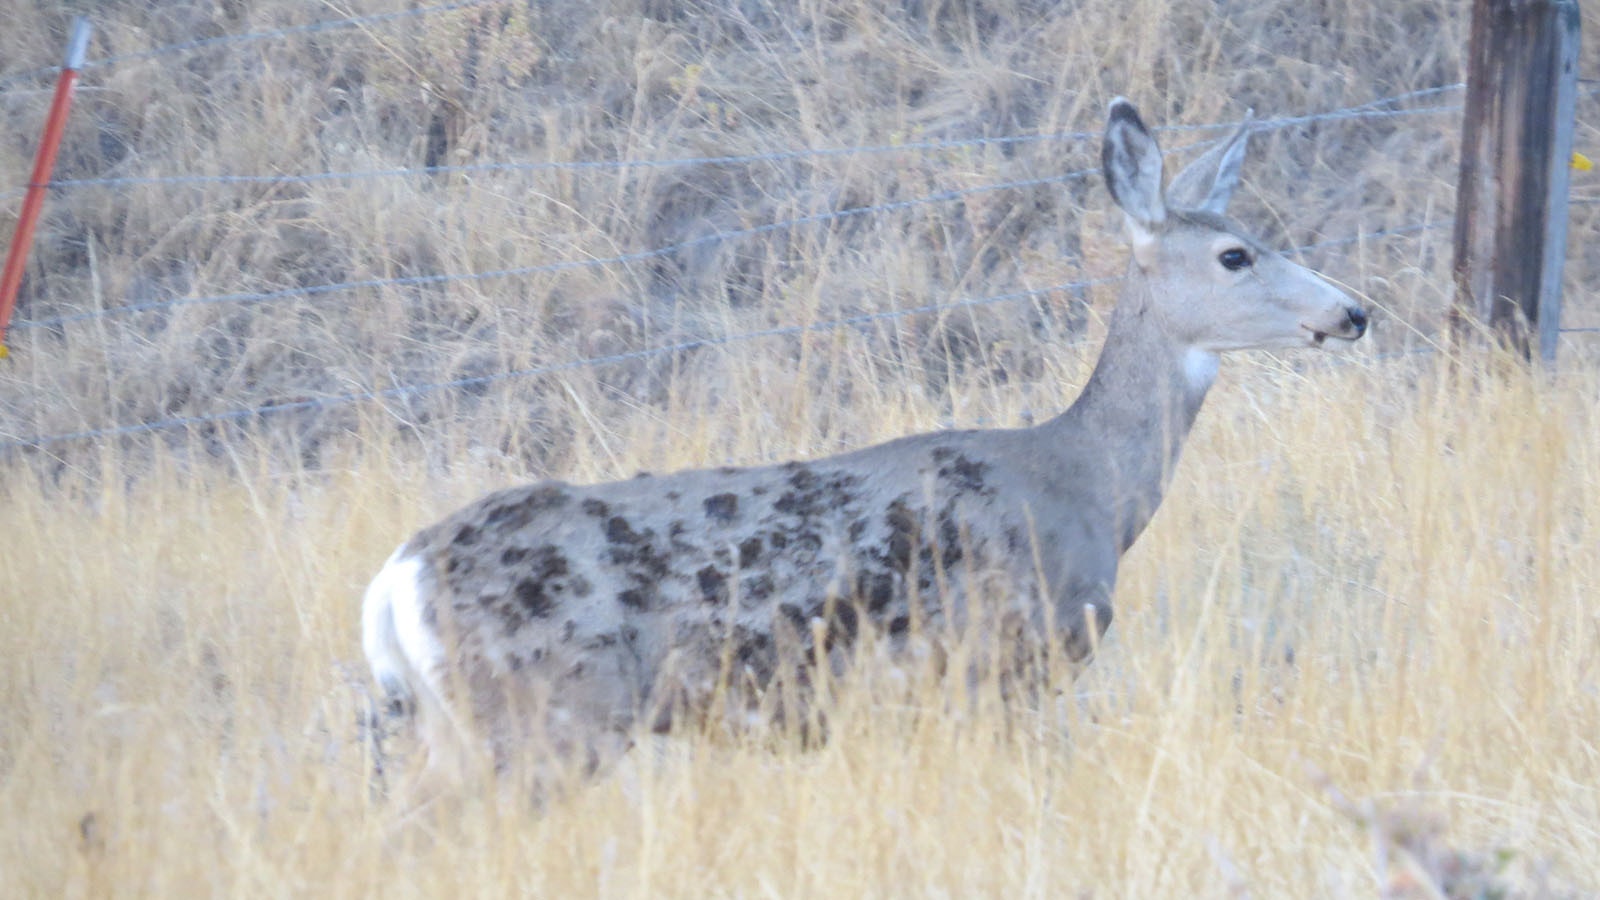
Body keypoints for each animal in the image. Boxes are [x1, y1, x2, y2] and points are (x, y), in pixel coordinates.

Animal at [360, 96, 1363, 784]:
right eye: (1236, 255)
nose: (1353, 311)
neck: (1085, 485)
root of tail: (395, 578)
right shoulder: (992, 665)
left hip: (466, 725)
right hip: (544, 714)